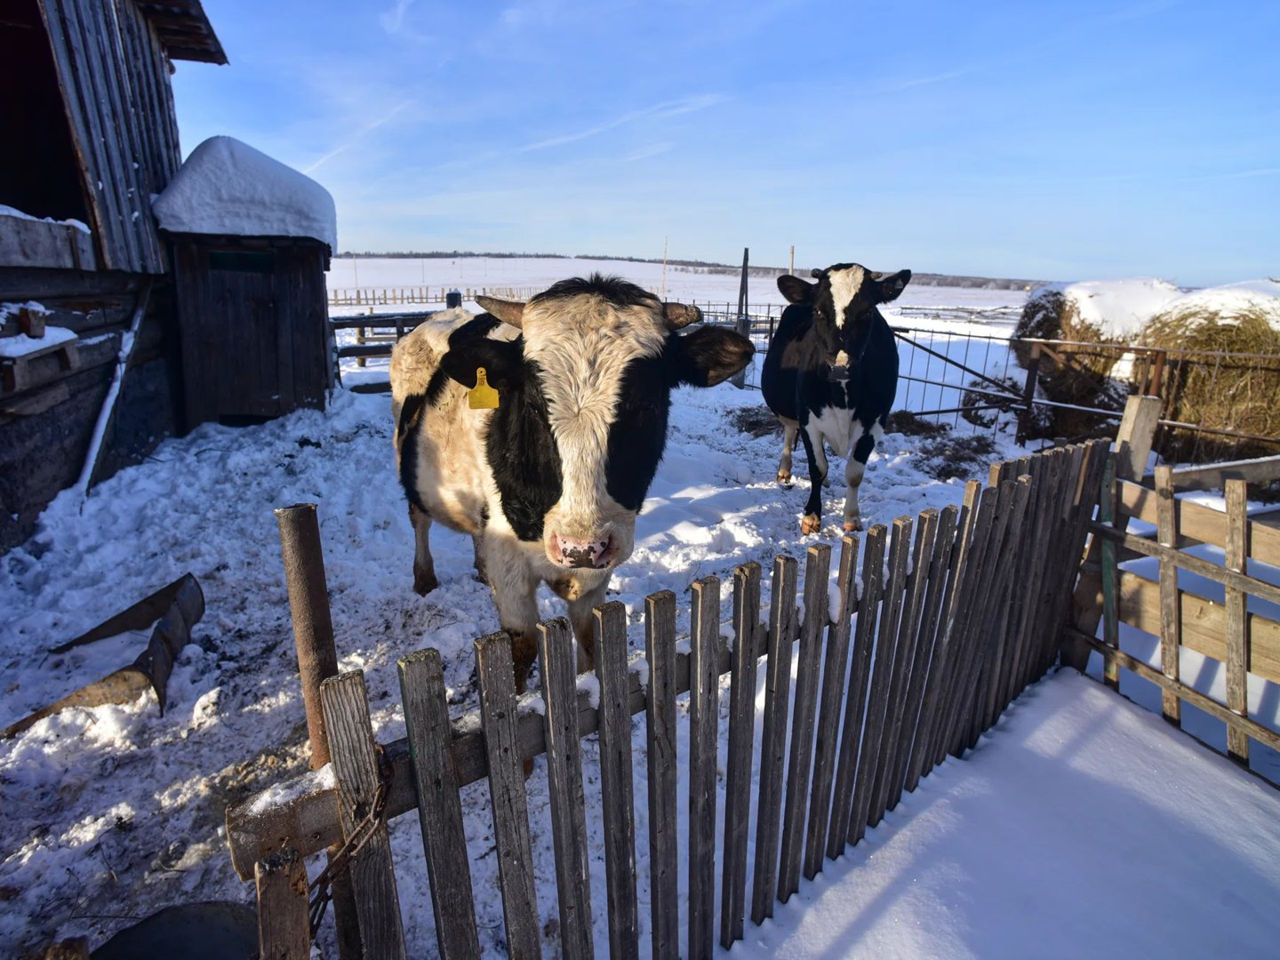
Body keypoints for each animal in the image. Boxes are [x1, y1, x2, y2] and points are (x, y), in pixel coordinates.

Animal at [390, 275, 754, 690]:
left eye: (645, 406)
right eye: (534, 405)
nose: (580, 547)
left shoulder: (599, 567)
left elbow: (590, 639)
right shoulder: (511, 566)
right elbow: (521, 647)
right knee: (419, 519)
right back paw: (424, 578)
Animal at [760, 263, 910, 534]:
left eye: (868, 311)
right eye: (819, 311)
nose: (840, 367)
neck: (843, 395)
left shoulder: (875, 422)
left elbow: (854, 472)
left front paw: (851, 517)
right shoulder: (808, 418)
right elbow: (817, 467)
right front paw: (811, 516)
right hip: (791, 410)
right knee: (789, 431)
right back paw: (784, 471)